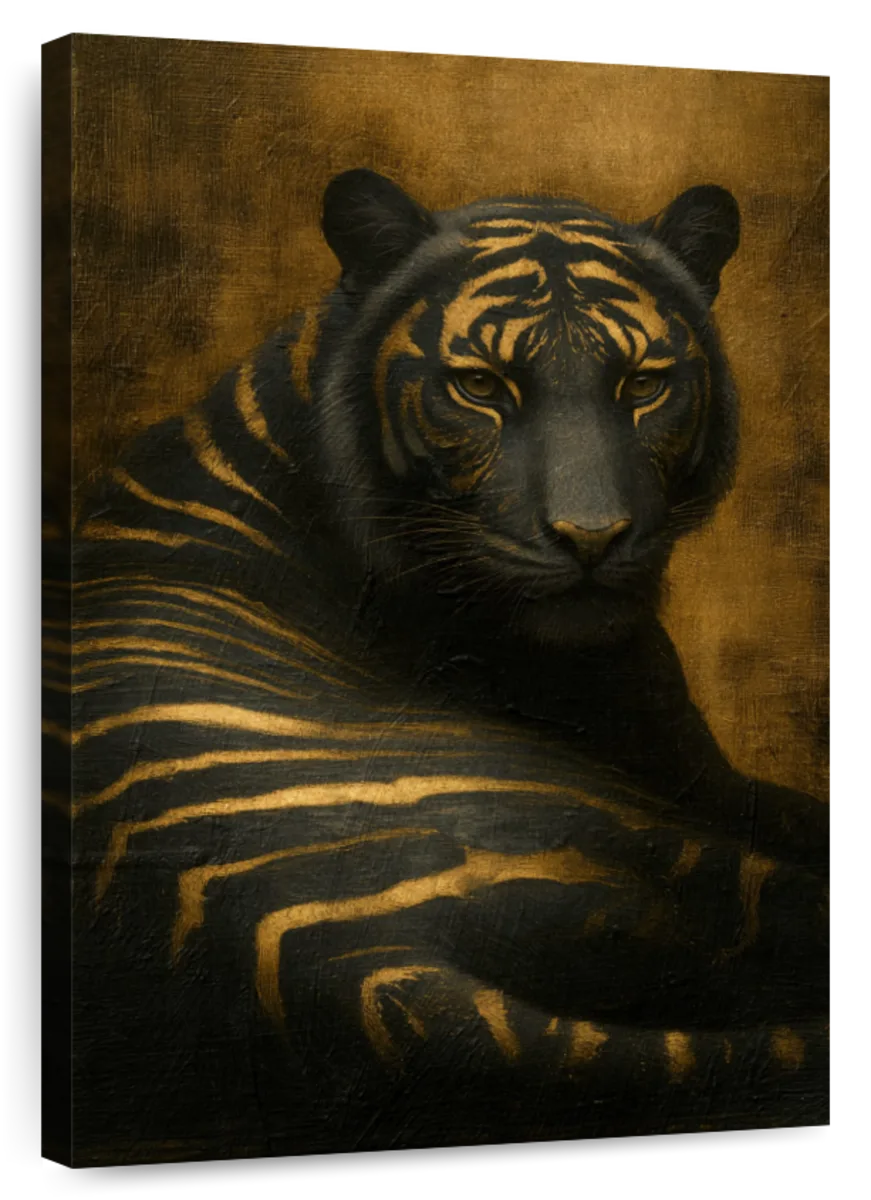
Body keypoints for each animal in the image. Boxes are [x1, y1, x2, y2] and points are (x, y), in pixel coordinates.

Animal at [41, 169, 831, 1165]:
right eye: (481, 385)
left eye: (643, 384)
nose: (590, 537)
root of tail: (359, 972)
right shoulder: (685, 792)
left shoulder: (706, 773)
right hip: (642, 837)